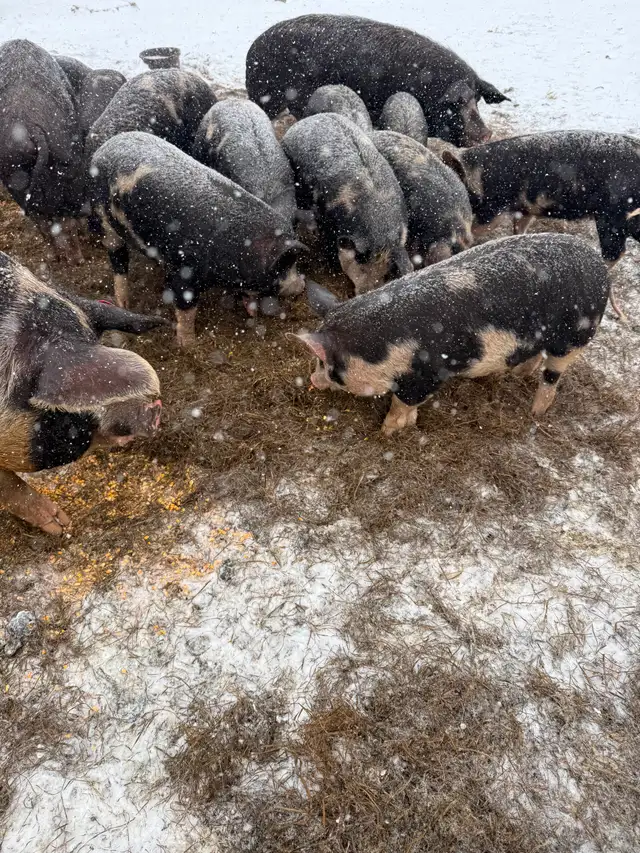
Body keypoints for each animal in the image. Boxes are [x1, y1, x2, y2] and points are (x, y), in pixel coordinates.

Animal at [0, 39, 86, 262]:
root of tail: (30, 127)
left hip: (14, 176)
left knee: (44, 221)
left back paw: (56, 257)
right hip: (66, 168)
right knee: (62, 219)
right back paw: (76, 259)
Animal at [91, 131, 308, 347]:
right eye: (284, 264)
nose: (301, 285)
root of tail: (105, 146)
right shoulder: (185, 271)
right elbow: (186, 309)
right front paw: (189, 345)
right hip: (105, 220)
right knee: (118, 259)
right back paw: (124, 303)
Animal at [246, 15, 507, 146]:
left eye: (477, 100)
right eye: (457, 103)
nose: (486, 134)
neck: (428, 88)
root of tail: (254, 46)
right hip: (265, 95)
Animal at [296, 234, 609, 437]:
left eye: (326, 363)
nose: (311, 379)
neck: (382, 350)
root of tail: (599, 264)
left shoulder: (425, 375)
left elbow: (402, 403)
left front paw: (387, 432)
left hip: (576, 337)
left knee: (552, 376)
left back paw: (535, 413)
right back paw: (519, 375)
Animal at [440, 131, 640, 318]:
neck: (480, 180)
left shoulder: (495, 210)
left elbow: (475, 230)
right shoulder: (526, 210)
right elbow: (519, 230)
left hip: (612, 217)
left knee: (615, 253)